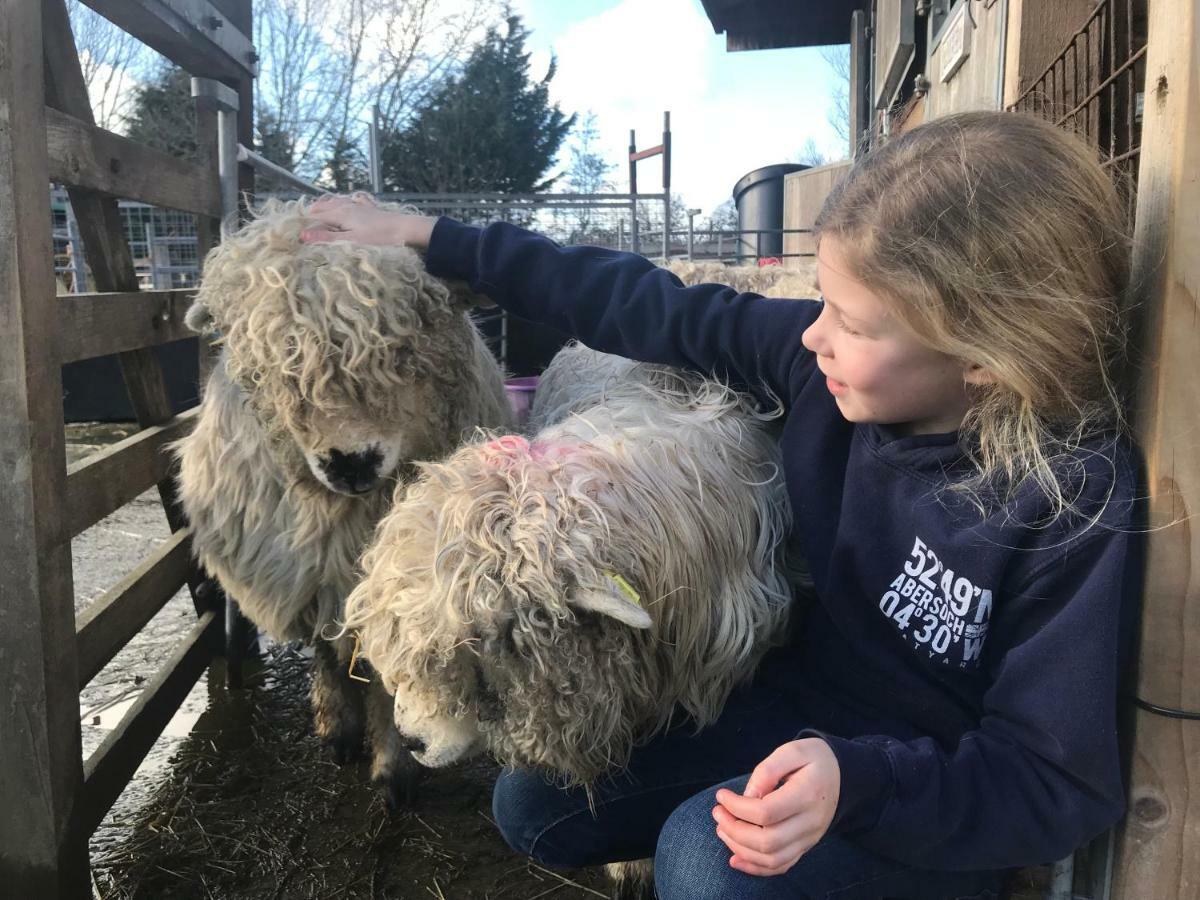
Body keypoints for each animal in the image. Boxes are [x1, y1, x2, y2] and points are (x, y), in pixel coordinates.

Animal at [174, 195, 511, 801]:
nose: (350, 461)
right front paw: (337, 727)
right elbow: (330, 654)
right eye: (270, 360)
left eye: (413, 333)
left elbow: (386, 674)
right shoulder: (307, 576)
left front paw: (393, 767)